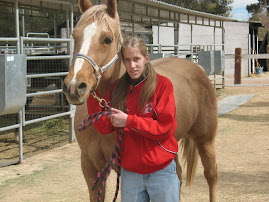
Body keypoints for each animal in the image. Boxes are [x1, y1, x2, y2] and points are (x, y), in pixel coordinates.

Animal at [62, 0, 218, 201]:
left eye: (107, 39)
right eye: (75, 35)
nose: (74, 86)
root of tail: (196, 67)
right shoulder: (90, 167)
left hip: (205, 138)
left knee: (211, 174)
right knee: (177, 175)